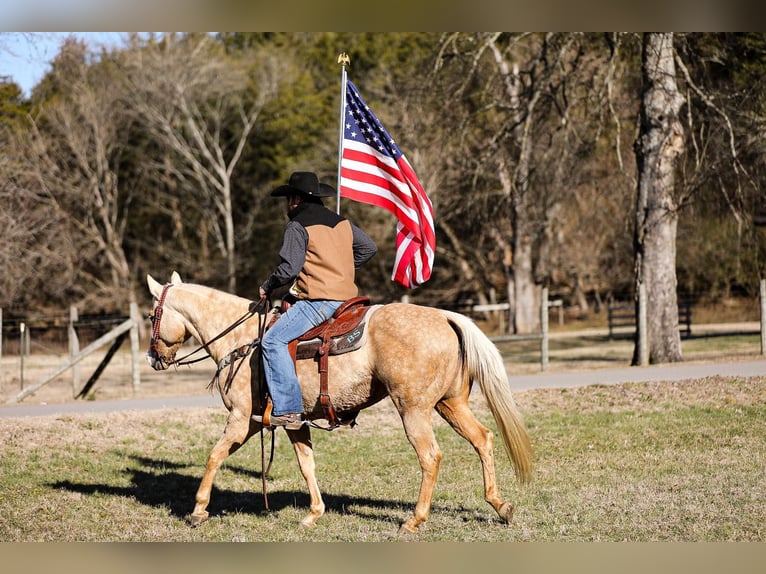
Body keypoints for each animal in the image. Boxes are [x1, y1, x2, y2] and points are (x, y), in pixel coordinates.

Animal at [148, 272, 536, 536]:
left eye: (152, 315)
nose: (154, 358)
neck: (243, 341)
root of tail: (445, 316)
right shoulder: (293, 422)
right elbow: (307, 465)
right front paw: (314, 513)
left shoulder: (245, 419)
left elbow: (214, 455)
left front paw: (198, 510)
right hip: (451, 404)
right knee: (483, 439)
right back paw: (501, 505)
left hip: (413, 410)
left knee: (430, 457)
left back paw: (414, 520)